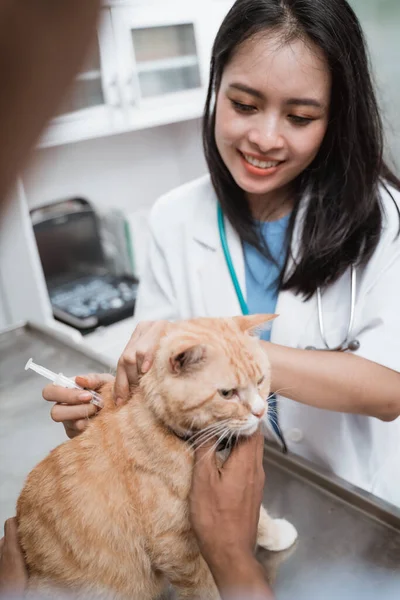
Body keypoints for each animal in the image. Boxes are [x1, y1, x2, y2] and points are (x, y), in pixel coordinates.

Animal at [17, 316, 296, 596]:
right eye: (227, 393)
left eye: (260, 380)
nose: (260, 411)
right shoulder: (176, 546)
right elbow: (204, 586)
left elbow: (259, 517)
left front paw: (277, 533)